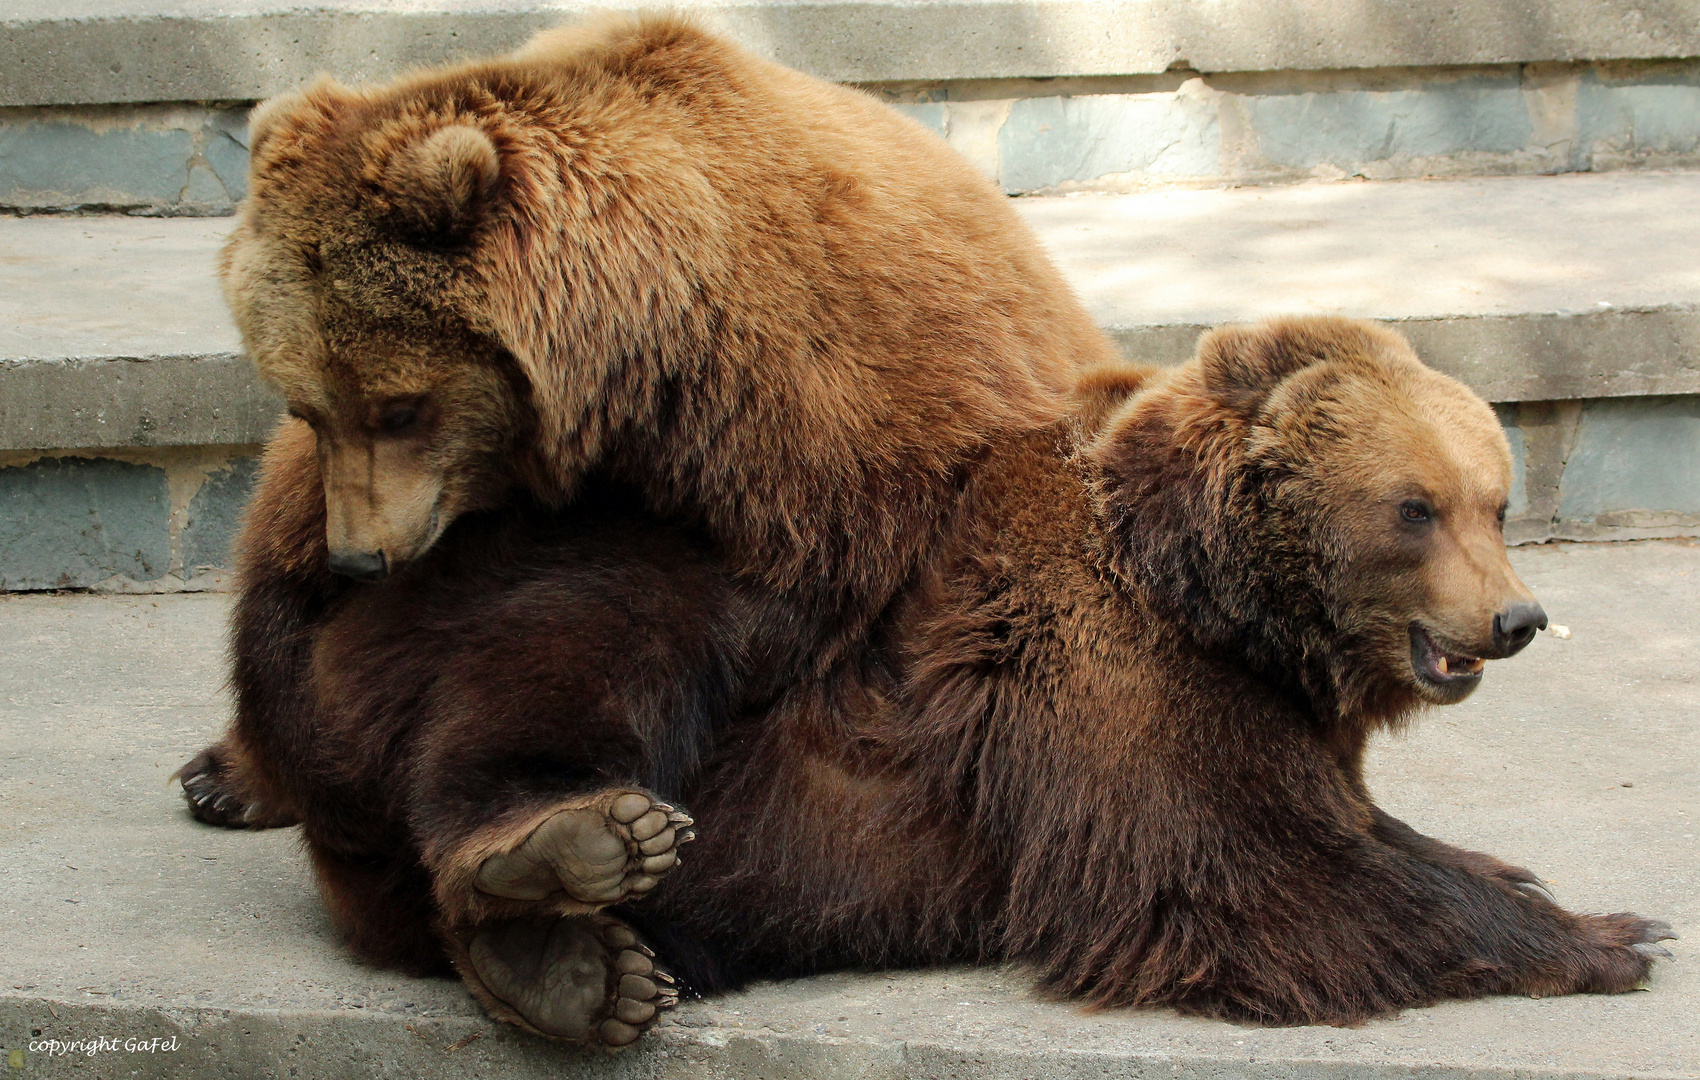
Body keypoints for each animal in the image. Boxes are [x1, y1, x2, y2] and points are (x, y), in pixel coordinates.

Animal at [189, 316, 1672, 1040]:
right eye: (1415, 507)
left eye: (1494, 500)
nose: (1517, 618)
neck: (1219, 597)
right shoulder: (1108, 685)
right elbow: (1236, 877)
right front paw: (1612, 938)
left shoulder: (1266, 711)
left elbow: (1352, 832)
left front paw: (1542, 889)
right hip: (548, 590)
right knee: (592, 647)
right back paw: (557, 878)